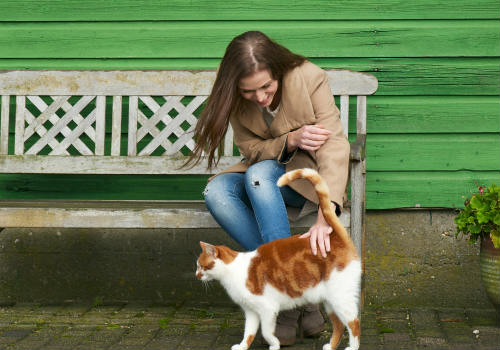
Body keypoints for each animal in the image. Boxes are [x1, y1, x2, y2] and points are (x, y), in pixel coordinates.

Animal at [194, 168, 360, 348]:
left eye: (202, 266)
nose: (196, 275)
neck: (232, 271)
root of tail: (338, 238)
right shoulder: (251, 312)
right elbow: (249, 333)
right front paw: (243, 346)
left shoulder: (267, 308)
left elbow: (267, 332)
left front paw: (274, 344)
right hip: (329, 300)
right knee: (339, 324)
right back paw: (331, 346)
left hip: (340, 297)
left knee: (354, 323)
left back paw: (352, 347)